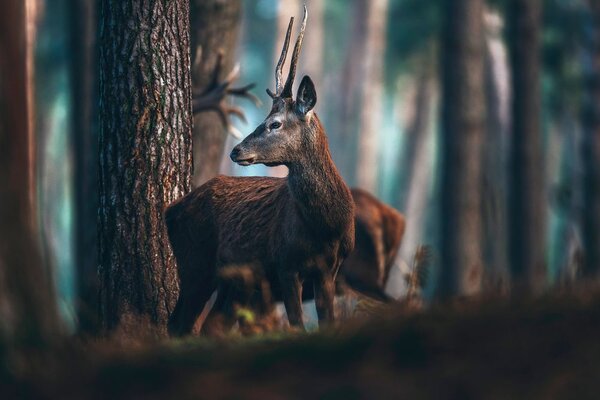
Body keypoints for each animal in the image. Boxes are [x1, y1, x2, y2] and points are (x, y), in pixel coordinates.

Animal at [164, 7, 354, 336]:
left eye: (274, 123)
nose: (236, 150)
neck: (325, 226)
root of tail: (169, 210)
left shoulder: (330, 269)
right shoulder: (285, 265)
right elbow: (295, 325)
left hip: (233, 282)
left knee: (210, 324)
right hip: (196, 263)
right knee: (180, 323)